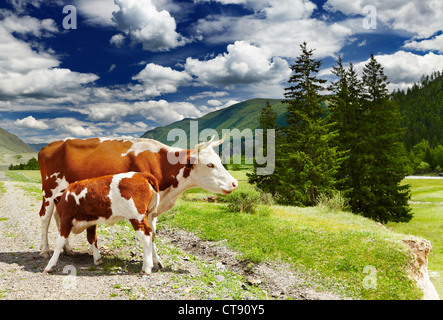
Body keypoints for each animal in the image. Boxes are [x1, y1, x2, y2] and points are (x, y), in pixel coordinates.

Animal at [38, 135, 239, 262]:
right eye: (210, 164)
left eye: (220, 161)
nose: (235, 183)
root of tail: (49, 145)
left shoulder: (153, 208)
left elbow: (154, 233)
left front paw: (156, 261)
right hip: (49, 191)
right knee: (45, 217)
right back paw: (45, 250)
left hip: (62, 195)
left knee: (58, 218)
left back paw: (67, 249)